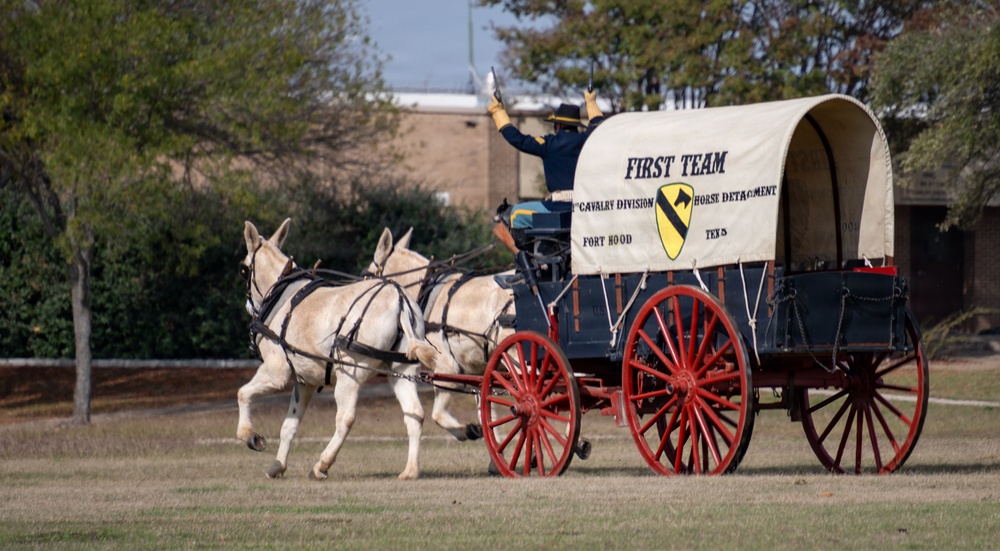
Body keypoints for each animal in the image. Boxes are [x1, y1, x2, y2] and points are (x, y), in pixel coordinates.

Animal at [237, 219, 439, 481]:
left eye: (243, 269)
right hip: (402, 372)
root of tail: (401, 301)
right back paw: (410, 470)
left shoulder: (275, 372)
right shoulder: (304, 382)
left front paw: (249, 435)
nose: (248, 306)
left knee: (346, 419)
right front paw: (277, 465)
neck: (282, 296)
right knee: (415, 413)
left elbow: (243, 393)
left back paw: (322, 465)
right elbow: (289, 425)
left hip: (348, 375)